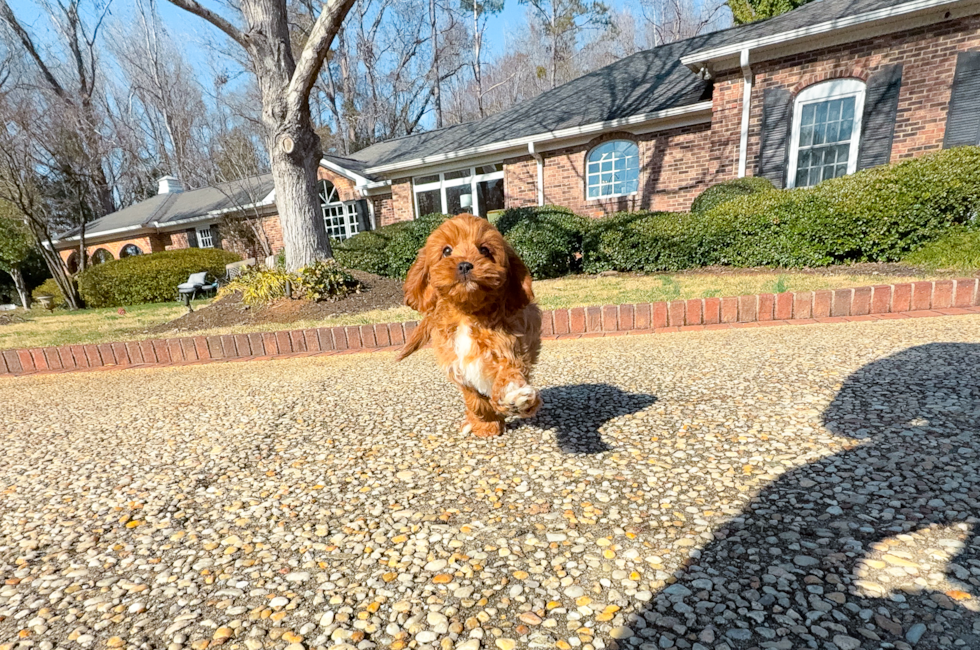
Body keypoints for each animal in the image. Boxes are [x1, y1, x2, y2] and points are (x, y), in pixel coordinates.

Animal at [396, 214, 544, 436]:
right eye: (446, 251)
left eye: (484, 250)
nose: (465, 265)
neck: (467, 314)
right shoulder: (457, 365)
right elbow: (475, 400)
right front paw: (486, 425)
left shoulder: (511, 346)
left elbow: (508, 372)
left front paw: (515, 396)